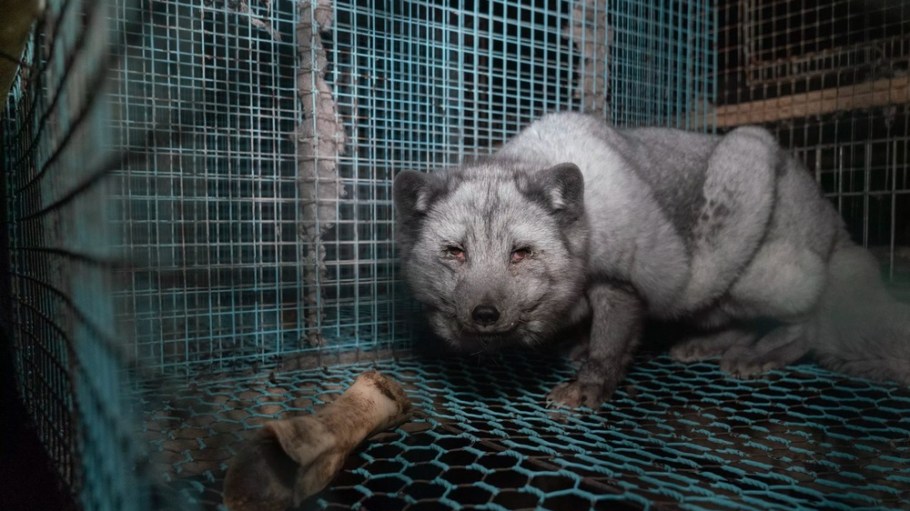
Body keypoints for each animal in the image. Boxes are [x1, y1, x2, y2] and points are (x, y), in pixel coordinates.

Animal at [392, 112, 910, 408]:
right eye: (455, 252)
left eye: (521, 253)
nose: (484, 314)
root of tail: (835, 220)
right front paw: (582, 350)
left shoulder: (621, 281)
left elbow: (608, 342)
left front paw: (590, 384)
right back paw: (709, 345)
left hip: (753, 237)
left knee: (806, 321)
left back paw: (762, 354)